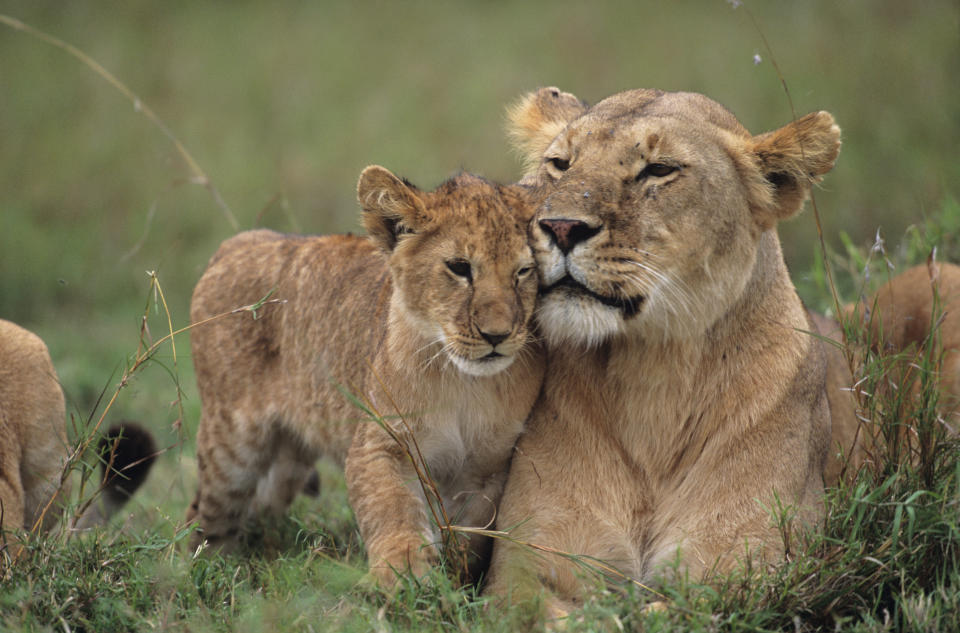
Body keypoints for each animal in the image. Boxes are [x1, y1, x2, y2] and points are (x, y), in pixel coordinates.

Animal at [189, 167, 548, 584]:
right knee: (204, 516)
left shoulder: (487, 471)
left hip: (289, 460)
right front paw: (404, 574)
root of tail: (236, 243)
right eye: (459, 267)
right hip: (231, 445)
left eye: (523, 271)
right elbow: (393, 509)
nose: (497, 336)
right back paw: (195, 571)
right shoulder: (381, 442)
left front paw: (454, 580)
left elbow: (468, 537)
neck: (465, 383)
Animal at [480, 86, 840, 616]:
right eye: (560, 164)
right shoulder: (525, 571)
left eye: (659, 169)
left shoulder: (752, 570)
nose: (561, 227)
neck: (652, 375)